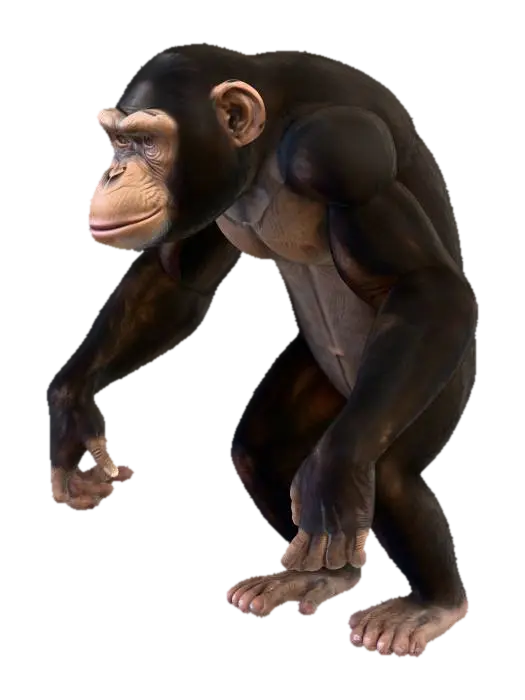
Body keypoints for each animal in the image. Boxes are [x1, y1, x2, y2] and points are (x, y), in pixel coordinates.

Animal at [48, 41, 475, 656]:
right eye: (115, 139)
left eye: (147, 141)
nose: (112, 171)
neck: (268, 140)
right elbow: (177, 276)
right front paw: (75, 408)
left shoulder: (339, 152)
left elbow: (424, 284)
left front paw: (332, 474)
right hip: (330, 378)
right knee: (261, 451)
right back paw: (317, 576)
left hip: (435, 374)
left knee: (389, 472)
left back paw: (427, 607)